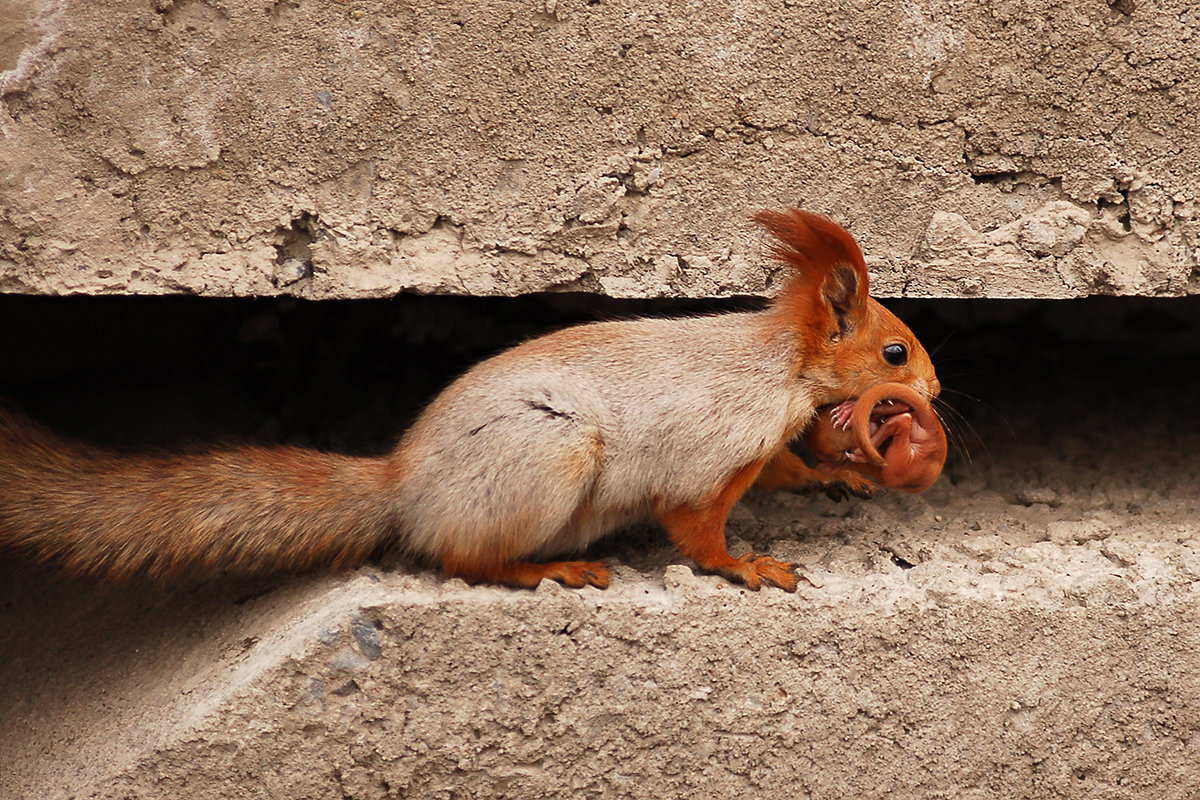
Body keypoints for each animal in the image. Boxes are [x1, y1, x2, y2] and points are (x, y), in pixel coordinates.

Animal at [0, 209, 940, 592]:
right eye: (894, 350)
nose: (931, 389)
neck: (778, 368)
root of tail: (404, 484)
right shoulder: (709, 455)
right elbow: (699, 530)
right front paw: (747, 565)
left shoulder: (761, 447)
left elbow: (783, 471)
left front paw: (834, 478)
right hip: (547, 459)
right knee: (460, 558)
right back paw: (549, 569)